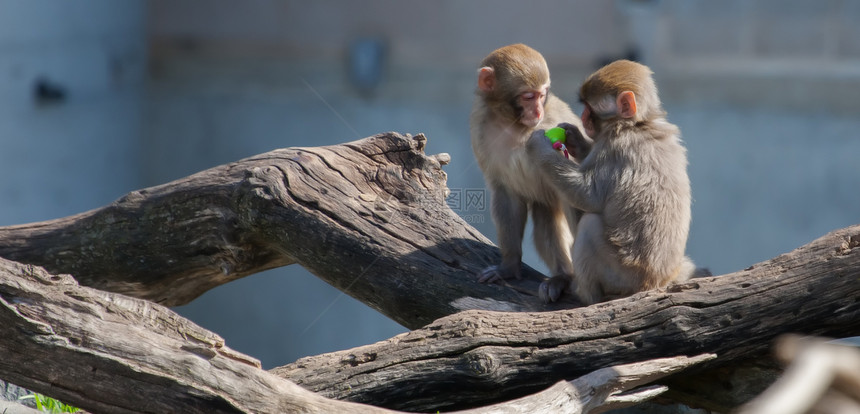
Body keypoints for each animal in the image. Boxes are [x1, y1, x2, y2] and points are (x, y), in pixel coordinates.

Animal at [470, 43, 592, 286]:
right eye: (528, 96)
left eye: (542, 94)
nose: (538, 111)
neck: (514, 125)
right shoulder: (481, 130)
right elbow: (507, 194)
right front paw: (508, 266)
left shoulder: (554, 119)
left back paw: (566, 277)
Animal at [524, 58, 704, 304]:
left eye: (589, 107)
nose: (582, 118)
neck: (638, 123)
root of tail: (653, 283)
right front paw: (575, 139)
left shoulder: (613, 149)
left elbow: (587, 196)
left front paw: (539, 146)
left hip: (621, 275)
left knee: (589, 225)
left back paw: (586, 295)